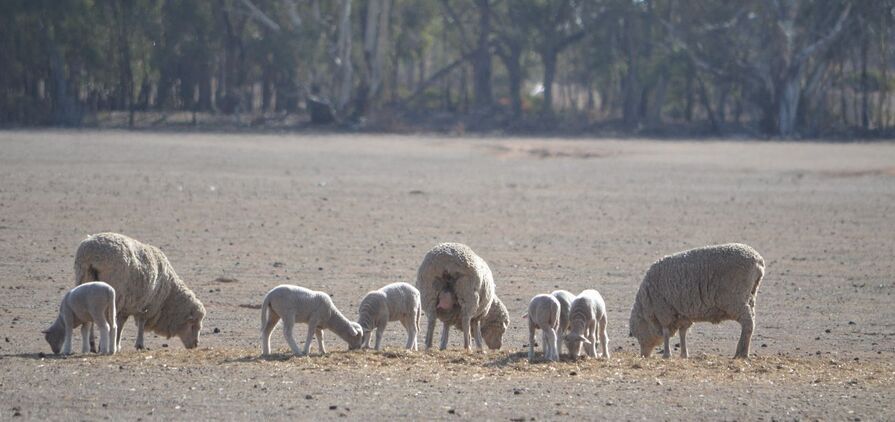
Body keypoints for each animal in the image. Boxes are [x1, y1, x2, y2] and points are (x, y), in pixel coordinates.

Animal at [74, 232, 206, 351]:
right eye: (193, 325)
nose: (195, 345)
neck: (168, 296)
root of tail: (92, 254)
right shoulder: (147, 303)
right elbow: (140, 323)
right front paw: (138, 344)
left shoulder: (128, 304)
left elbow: (122, 323)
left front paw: (118, 343)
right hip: (113, 292)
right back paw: (102, 345)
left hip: (84, 281)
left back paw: (92, 345)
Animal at [629, 243, 765, 359]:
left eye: (637, 334)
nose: (643, 356)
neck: (648, 303)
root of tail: (758, 260)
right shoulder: (682, 314)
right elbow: (682, 332)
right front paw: (684, 354)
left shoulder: (664, 311)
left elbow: (666, 332)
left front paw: (667, 354)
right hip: (750, 296)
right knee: (751, 321)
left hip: (735, 299)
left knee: (747, 323)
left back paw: (741, 353)